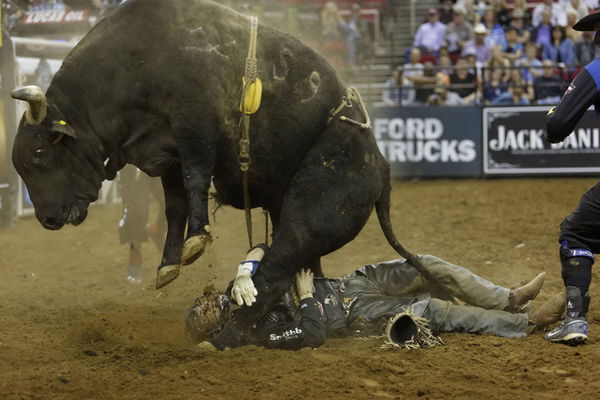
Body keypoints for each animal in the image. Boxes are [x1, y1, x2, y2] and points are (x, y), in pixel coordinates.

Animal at [8, 0, 422, 332]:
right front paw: (169, 264)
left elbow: (195, 178)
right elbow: (174, 206)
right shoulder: (164, 154)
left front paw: (196, 240)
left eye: (40, 153)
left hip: (316, 207)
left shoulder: (193, 124)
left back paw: (234, 326)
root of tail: (381, 167)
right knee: (304, 267)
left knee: (280, 263)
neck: (137, 62)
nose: (47, 218)